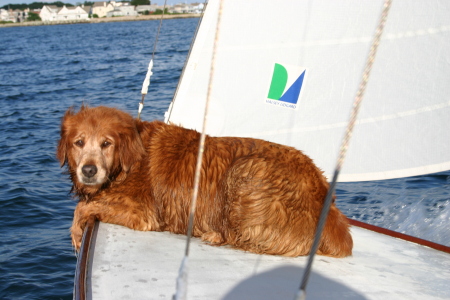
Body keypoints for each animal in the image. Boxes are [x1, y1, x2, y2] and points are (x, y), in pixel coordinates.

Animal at [57, 106, 352, 258]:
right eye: (79, 142)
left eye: (106, 143)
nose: (89, 170)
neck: (127, 163)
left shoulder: (144, 213)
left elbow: (83, 207)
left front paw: (76, 234)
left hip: (246, 170)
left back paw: (214, 234)